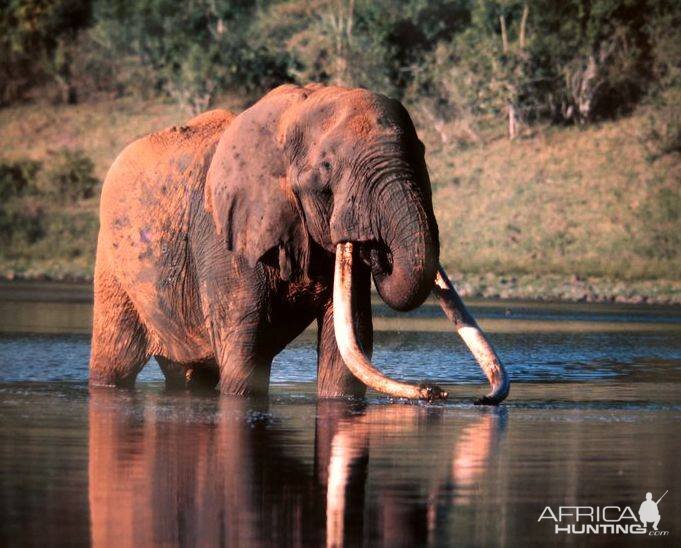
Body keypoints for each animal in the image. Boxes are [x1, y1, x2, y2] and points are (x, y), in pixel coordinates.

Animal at [87, 83, 508, 404]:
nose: (436, 392)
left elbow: (346, 346)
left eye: (420, 155)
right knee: (114, 363)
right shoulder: (225, 239)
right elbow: (244, 356)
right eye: (327, 168)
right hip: (112, 268)